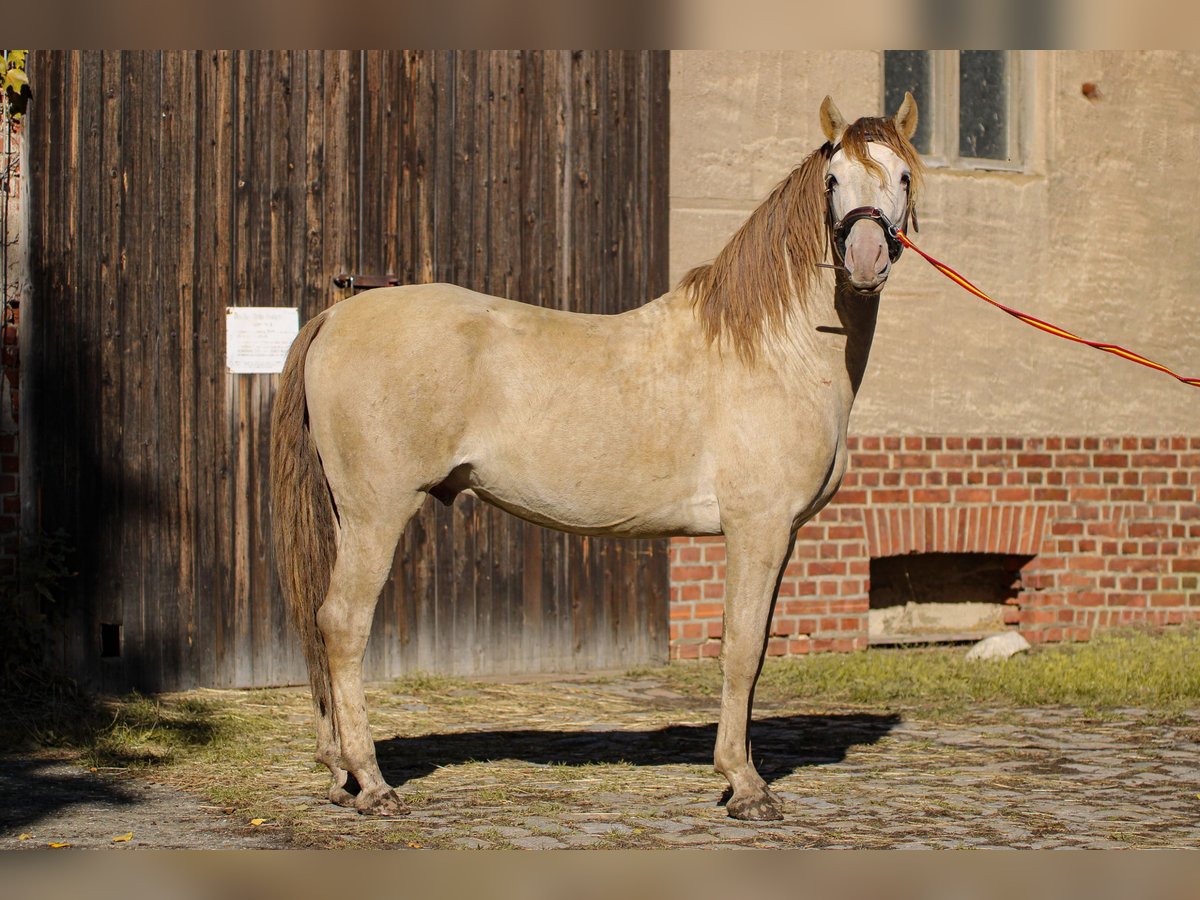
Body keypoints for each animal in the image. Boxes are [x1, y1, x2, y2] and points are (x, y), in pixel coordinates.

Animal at [272, 93, 921, 825]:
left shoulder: (778, 536)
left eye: (902, 177)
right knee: (342, 625)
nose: (865, 261)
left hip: (348, 516)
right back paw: (372, 782)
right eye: (834, 181)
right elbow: (742, 649)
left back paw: (340, 775)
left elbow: (752, 656)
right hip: (376, 515)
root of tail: (335, 318)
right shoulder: (757, 528)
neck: (776, 349)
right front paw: (745, 784)